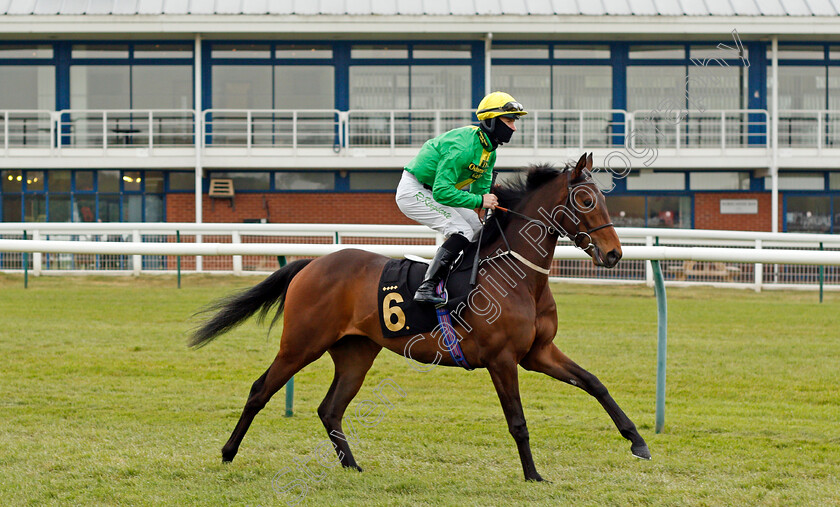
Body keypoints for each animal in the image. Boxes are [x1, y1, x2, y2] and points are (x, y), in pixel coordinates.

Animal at [194, 153, 652, 482]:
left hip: (355, 351)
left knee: (330, 409)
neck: (517, 275)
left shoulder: (538, 352)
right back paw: (228, 453)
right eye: (586, 200)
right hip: (301, 343)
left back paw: (352, 466)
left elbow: (594, 383)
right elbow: (518, 421)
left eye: (604, 199)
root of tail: (312, 263)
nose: (614, 254)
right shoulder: (503, 359)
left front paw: (637, 441)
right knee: (260, 390)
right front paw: (533, 475)